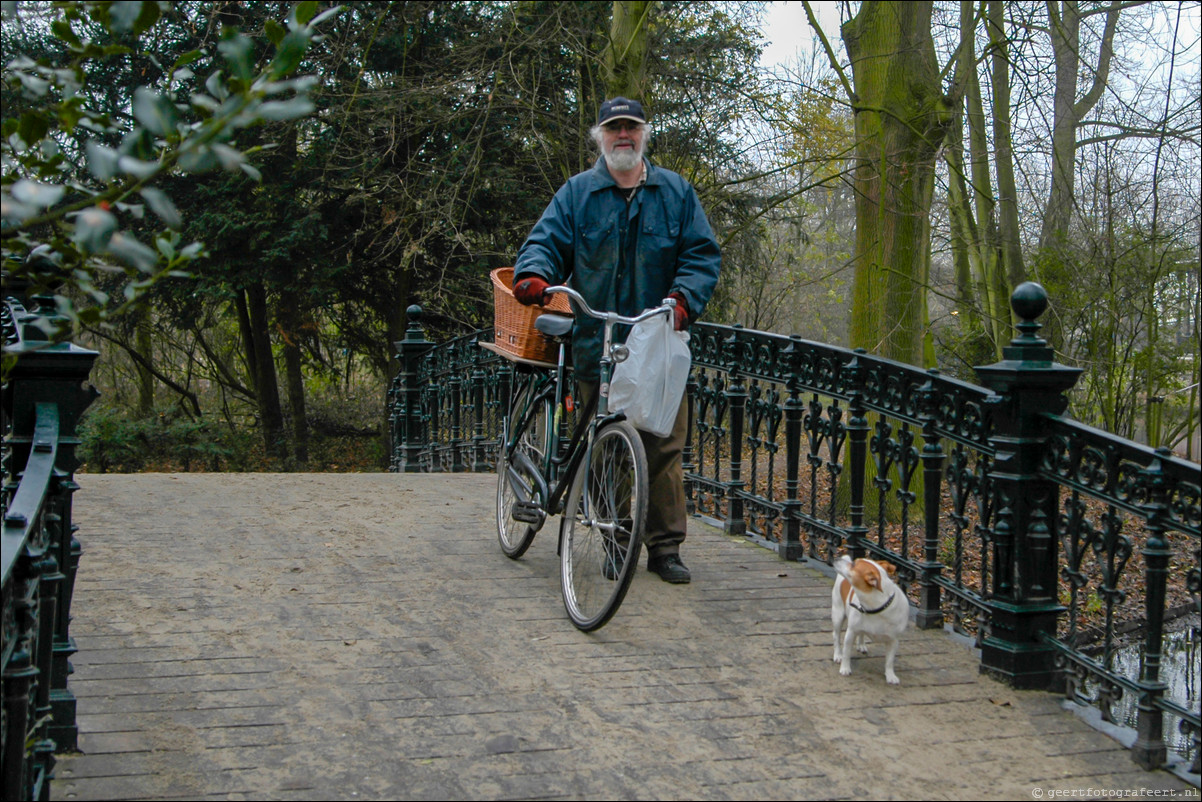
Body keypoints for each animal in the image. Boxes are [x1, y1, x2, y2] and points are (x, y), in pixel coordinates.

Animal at [836, 555, 908, 687]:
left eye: (853, 564)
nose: (837, 557)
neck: (874, 608)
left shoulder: (893, 640)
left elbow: (889, 661)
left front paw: (890, 675)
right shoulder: (851, 632)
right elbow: (846, 652)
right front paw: (845, 668)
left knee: (861, 634)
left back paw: (861, 645)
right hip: (837, 615)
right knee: (836, 636)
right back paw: (837, 654)